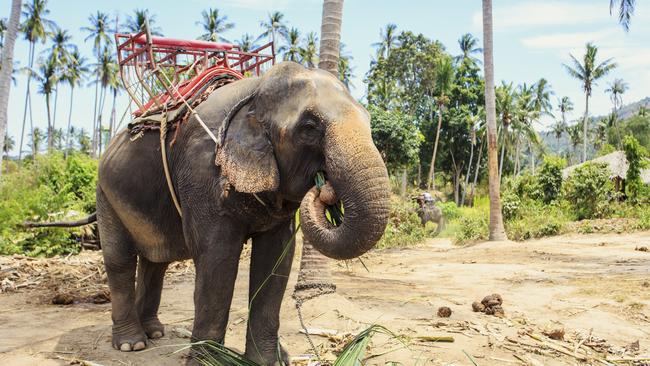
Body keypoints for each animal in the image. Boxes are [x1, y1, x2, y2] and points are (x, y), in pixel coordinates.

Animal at [91, 61, 384, 364]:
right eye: (309, 127)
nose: (324, 187)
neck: (254, 89)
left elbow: (276, 259)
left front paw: (269, 360)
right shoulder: (202, 172)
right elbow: (217, 257)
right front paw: (210, 361)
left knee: (156, 261)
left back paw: (154, 332)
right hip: (105, 195)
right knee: (120, 260)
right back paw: (132, 344)